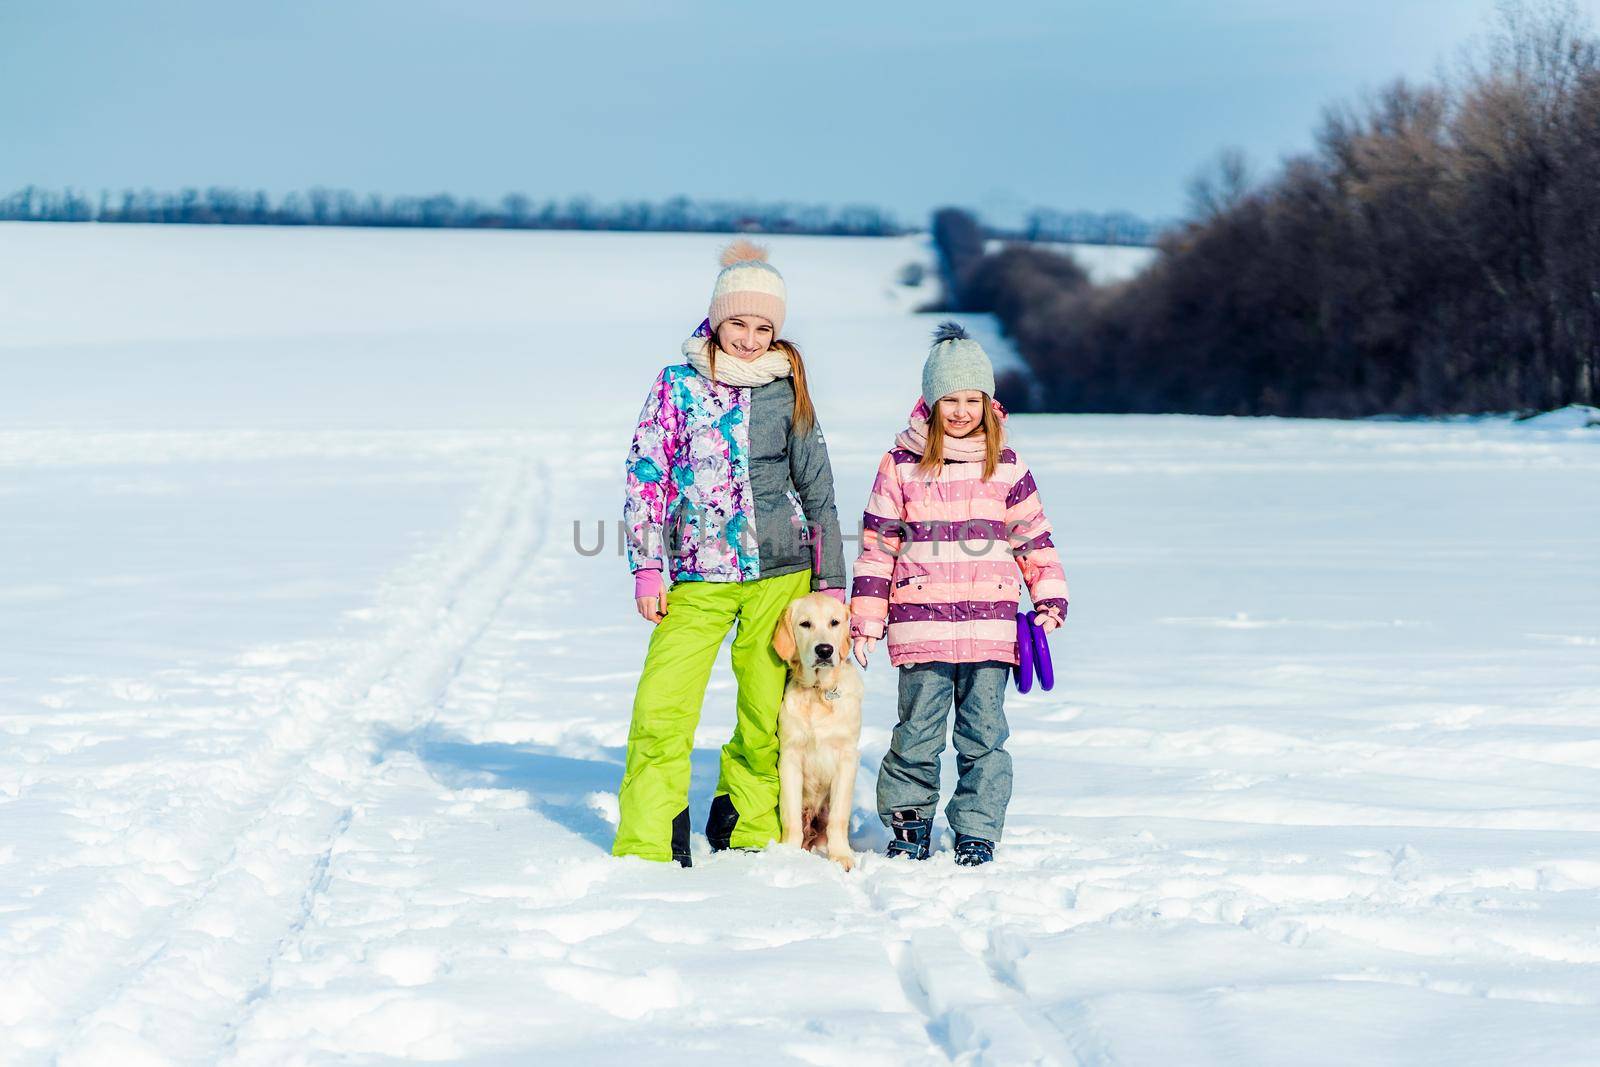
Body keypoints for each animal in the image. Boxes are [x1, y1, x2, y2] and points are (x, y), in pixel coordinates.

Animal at [771, 588, 864, 870]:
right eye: (805, 624)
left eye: (834, 622)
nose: (824, 650)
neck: (818, 693)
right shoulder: (789, 757)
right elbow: (790, 816)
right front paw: (788, 856)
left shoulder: (847, 757)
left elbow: (838, 817)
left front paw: (841, 856)